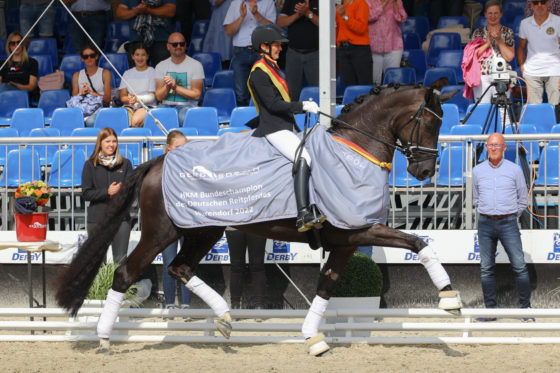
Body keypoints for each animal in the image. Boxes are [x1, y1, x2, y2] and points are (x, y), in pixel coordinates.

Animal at [54, 83, 462, 354]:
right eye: (429, 123)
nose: (425, 172)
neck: (354, 153)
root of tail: (158, 161)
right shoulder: (361, 230)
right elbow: (418, 243)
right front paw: (449, 298)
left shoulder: (347, 239)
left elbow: (326, 286)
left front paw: (313, 337)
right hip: (162, 232)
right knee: (127, 272)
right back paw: (105, 337)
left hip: (203, 231)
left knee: (179, 268)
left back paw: (224, 318)